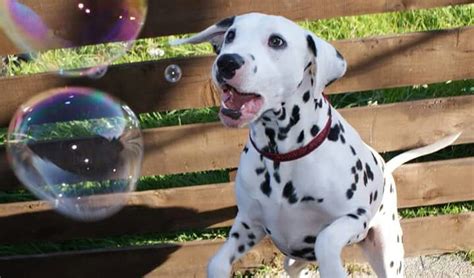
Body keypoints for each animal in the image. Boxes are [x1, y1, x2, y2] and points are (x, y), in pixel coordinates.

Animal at [173, 12, 460, 278]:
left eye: (276, 41)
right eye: (231, 35)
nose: (227, 62)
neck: (284, 157)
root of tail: (386, 171)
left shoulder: (353, 219)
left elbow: (326, 240)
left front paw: (333, 268)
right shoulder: (248, 225)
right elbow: (216, 263)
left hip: (387, 251)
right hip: (295, 257)